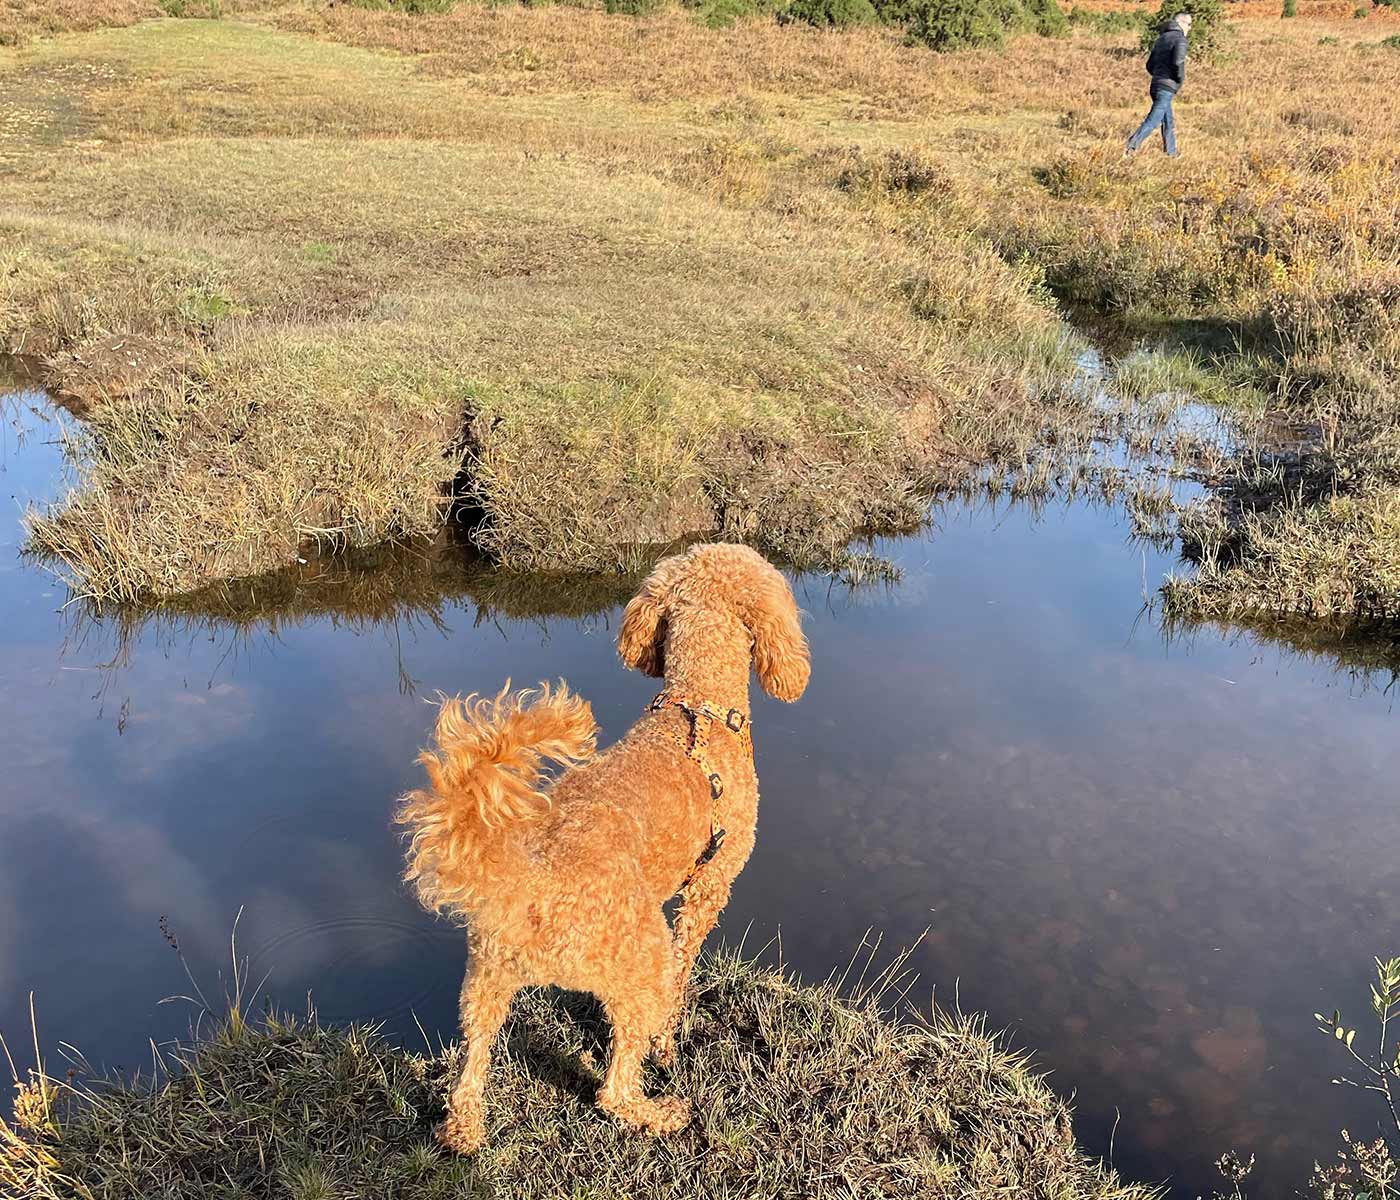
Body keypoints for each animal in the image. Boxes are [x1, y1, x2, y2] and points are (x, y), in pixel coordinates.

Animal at [397, 543, 812, 1153]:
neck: (699, 704)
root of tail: (529, 883)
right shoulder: (709, 886)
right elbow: (685, 965)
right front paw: (668, 1042)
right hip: (640, 959)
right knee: (614, 1089)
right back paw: (657, 1111)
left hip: (485, 982)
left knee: (472, 1065)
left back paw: (464, 1131)